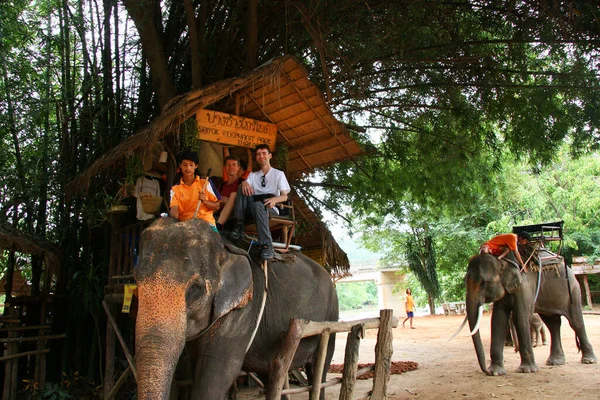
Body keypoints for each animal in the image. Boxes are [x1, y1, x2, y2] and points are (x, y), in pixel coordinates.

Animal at [135, 219, 338, 400]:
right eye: (136, 282)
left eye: (194, 288)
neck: (224, 248)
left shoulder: (243, 310)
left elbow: (215, 373)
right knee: (270, 372)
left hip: (331, 317)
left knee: (319, 368)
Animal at [464, 253, 596, 376]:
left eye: (483, 283)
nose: (485, 370)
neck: (503, 261)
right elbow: (498, 320)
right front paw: (495, 372)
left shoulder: (525, 286)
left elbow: (520, 317)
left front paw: (526, 370)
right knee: (552, 323)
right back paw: (555, 362)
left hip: (573, 291)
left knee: (576, 322)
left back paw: (588, 361)